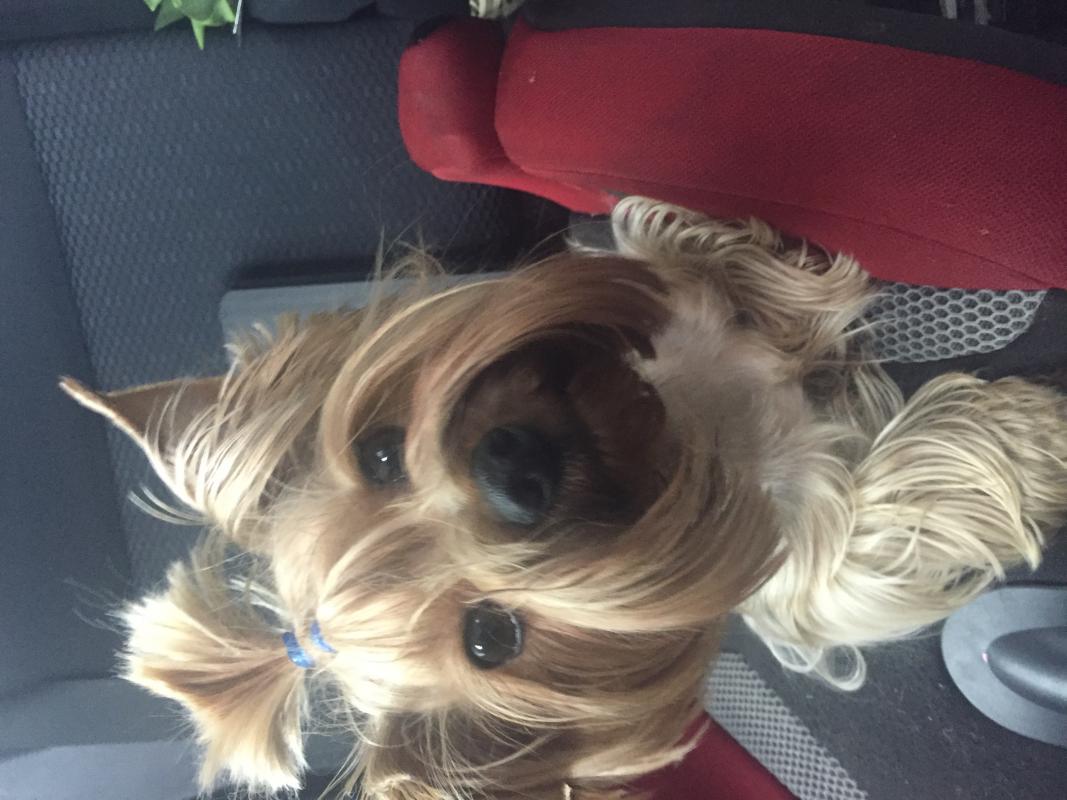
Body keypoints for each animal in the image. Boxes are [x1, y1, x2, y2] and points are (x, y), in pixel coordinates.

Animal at [62, 197, 1067, 799]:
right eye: (491, 638)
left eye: (381, 453)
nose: (511, 472)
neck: (679, 427)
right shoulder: (809, 555)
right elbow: (894, 503)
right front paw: (1031, 440)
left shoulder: (681, 296)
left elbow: (697, 261)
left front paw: (786, 285)